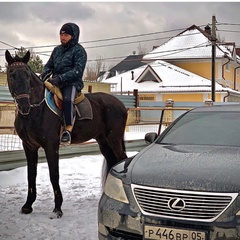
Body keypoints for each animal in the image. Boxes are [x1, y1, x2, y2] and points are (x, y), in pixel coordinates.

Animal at [4, 49, 127, 218]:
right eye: (11, 74)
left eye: (27, 75)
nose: (24, 105)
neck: (37, 110)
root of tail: (121, 104)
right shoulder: (29, 146)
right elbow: (31, 175)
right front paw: (28, 205)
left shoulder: (51, 145)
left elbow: (54, 174)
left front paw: (57, 208)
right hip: (103, 142)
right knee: (112, 161)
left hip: (114, 139)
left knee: (121, 159)